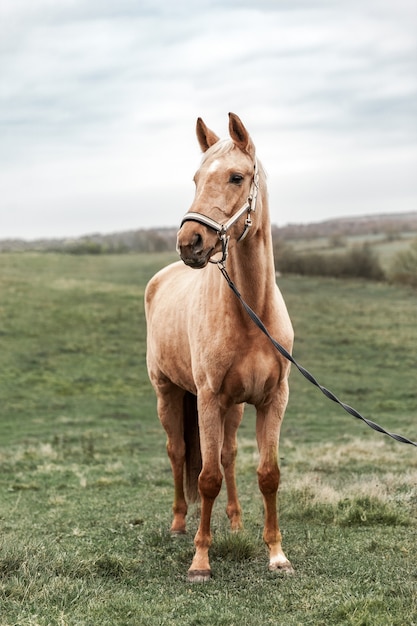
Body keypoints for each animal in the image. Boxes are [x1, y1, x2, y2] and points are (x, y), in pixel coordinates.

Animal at [145, 113, 292, 580]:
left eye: (236, 177)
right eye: (196, 178)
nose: (189, 242)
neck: (251, 310)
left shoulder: (271, 400)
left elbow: (267, 473)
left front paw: (276, 554)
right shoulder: (207, 399)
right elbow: (205, 477)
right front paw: (200, 561)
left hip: (235, 407)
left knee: (227, 456)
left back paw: (236, 520)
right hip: (170, 394)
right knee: (178, 454)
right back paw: (178, 524)